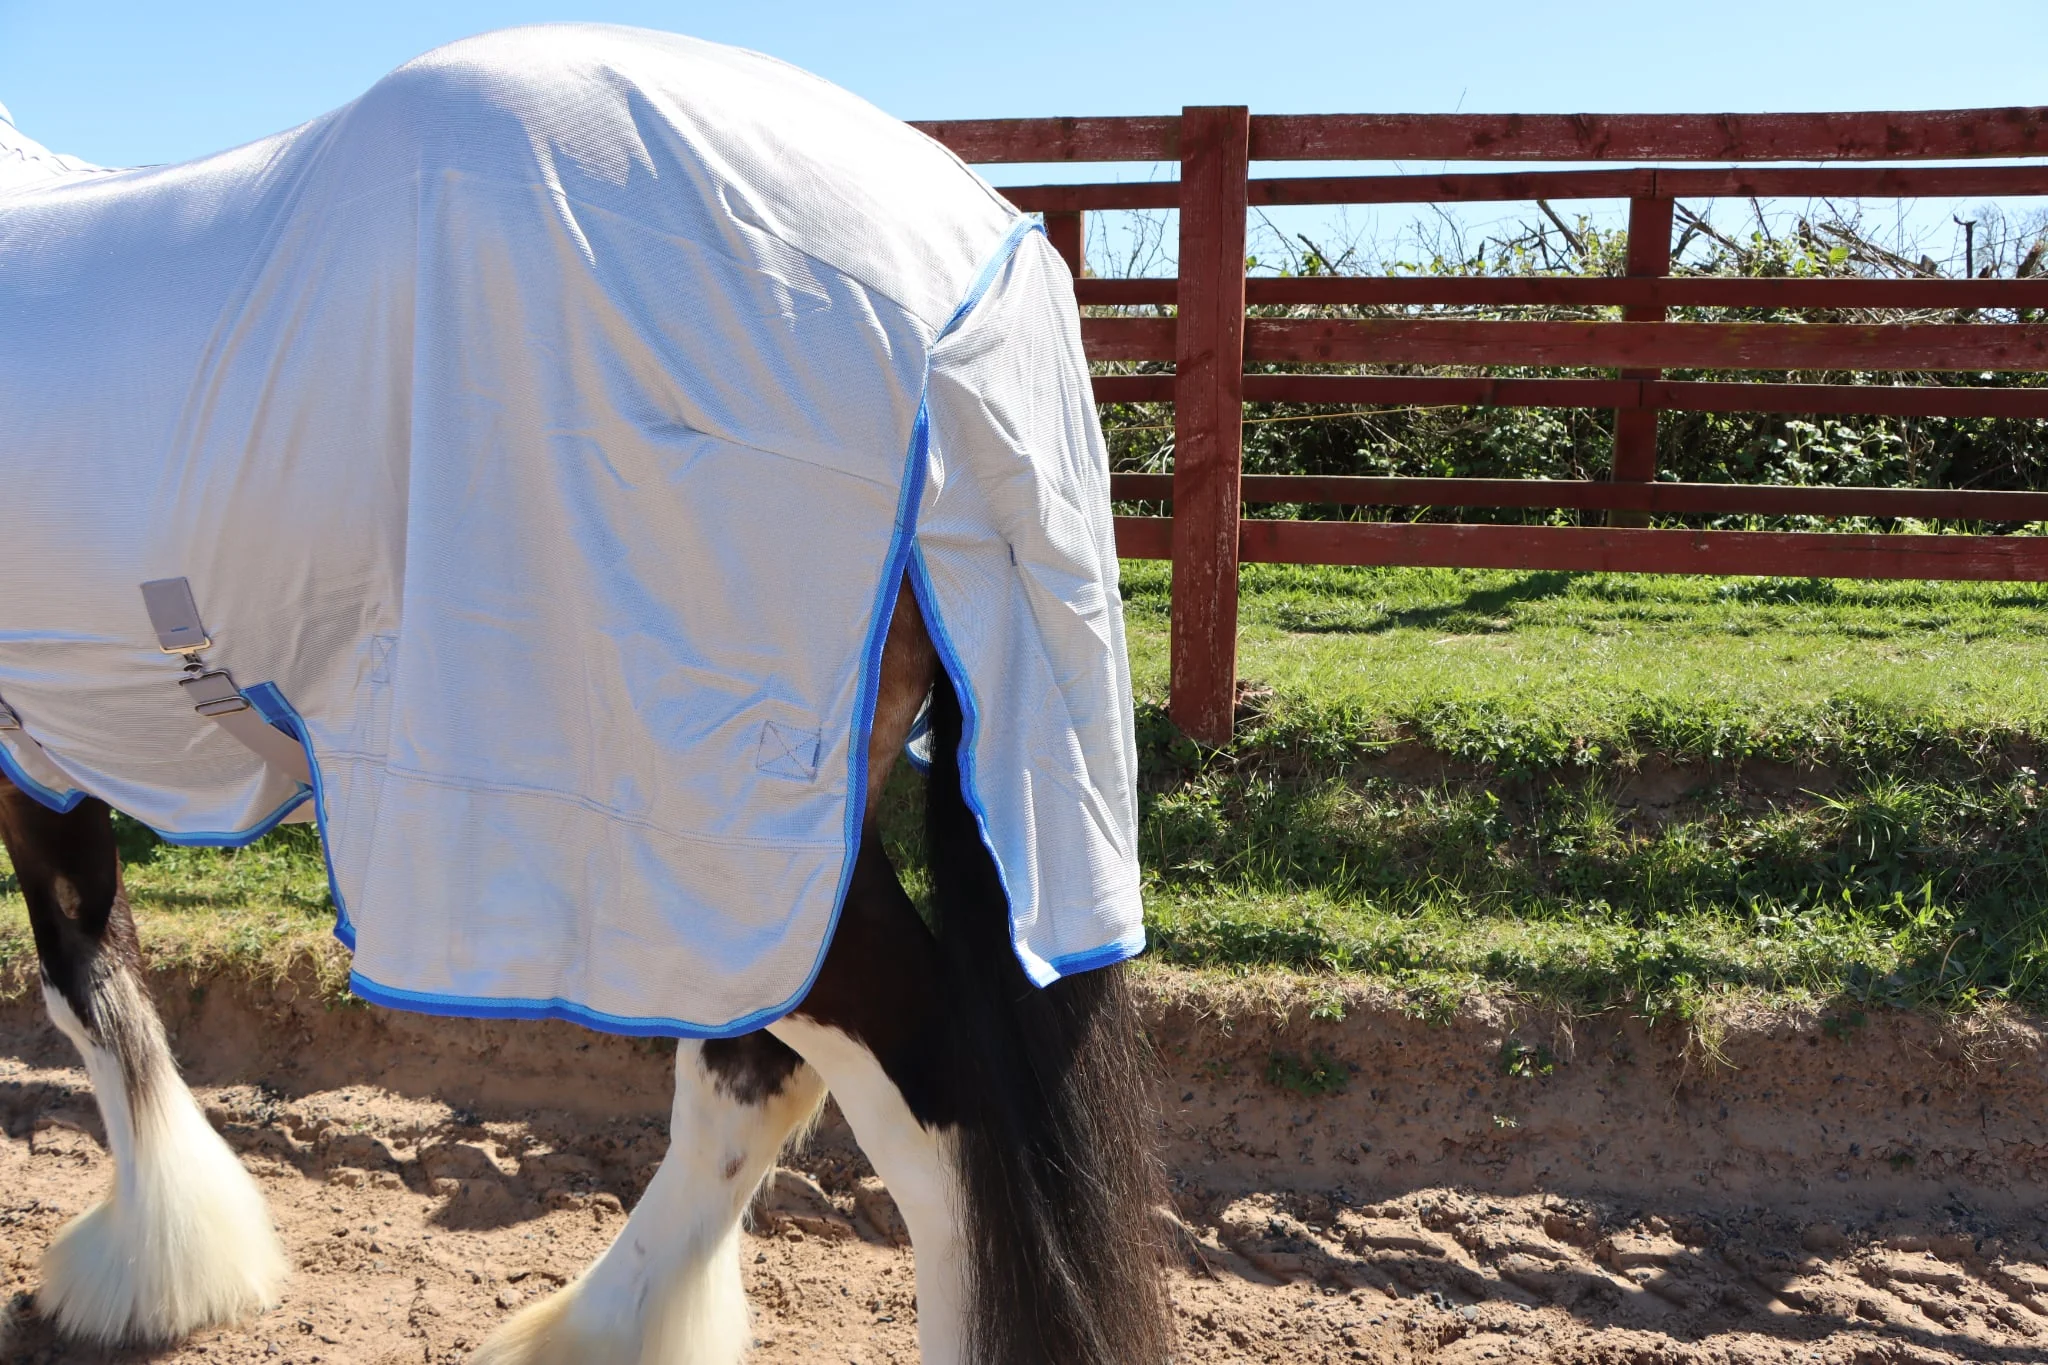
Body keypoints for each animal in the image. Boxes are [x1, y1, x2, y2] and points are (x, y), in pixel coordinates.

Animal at [0, 25, 1170, 1365]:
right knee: (749, 1080)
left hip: (725, 841)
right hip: (763, 873)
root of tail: (958, 283)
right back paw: (607, 1327)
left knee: (932, 1111)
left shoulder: (34, 750)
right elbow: (100, 965)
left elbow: (84, 979)